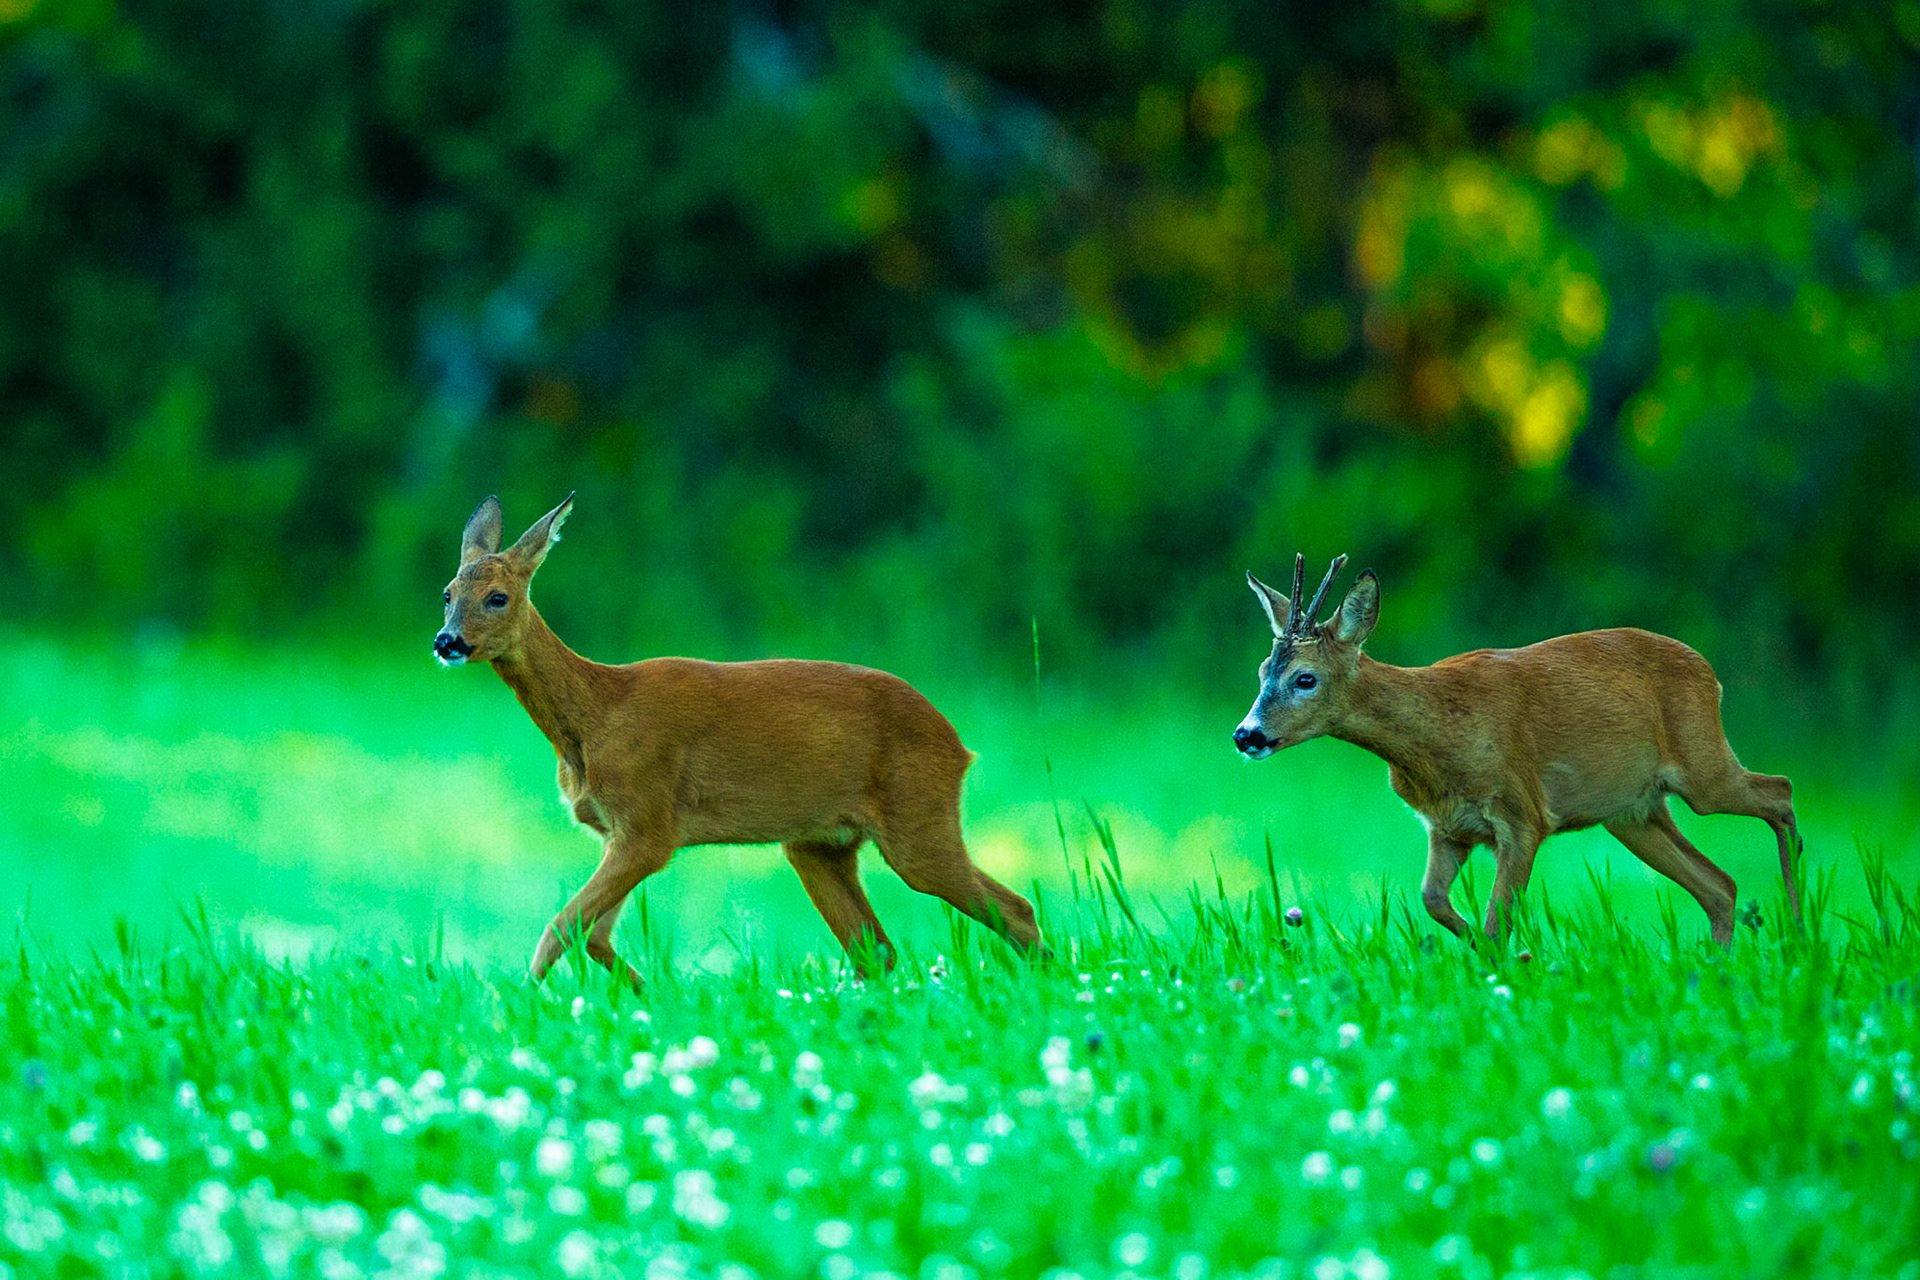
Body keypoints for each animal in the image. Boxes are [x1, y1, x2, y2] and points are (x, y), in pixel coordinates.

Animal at [433, 494, 1043, 986]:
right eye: (447, 593)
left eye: (497, 597)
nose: (446, 642)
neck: (597, 716)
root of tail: (958, 745)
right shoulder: (615, 832)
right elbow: (594, 935)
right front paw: (651, 997)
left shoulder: (649, 824)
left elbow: (561, 927)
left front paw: (517, 1005)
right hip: (818, 845)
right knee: (877, 950)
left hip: (917, 818)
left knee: (1015, 909)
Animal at [1231, 554, 1802, 947]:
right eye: (1261, 672)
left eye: (1305, 678)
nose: (1246, 734)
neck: (1438, 737)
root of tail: (1710, 673)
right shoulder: (1446, 828)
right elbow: (1433, 900)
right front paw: (1469, 945)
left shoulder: (1523, 814)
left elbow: (1498, 920)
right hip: (1633, 813)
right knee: (1720, 885)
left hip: (1702, 764)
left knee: (1779, 790)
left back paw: (1797, 929)